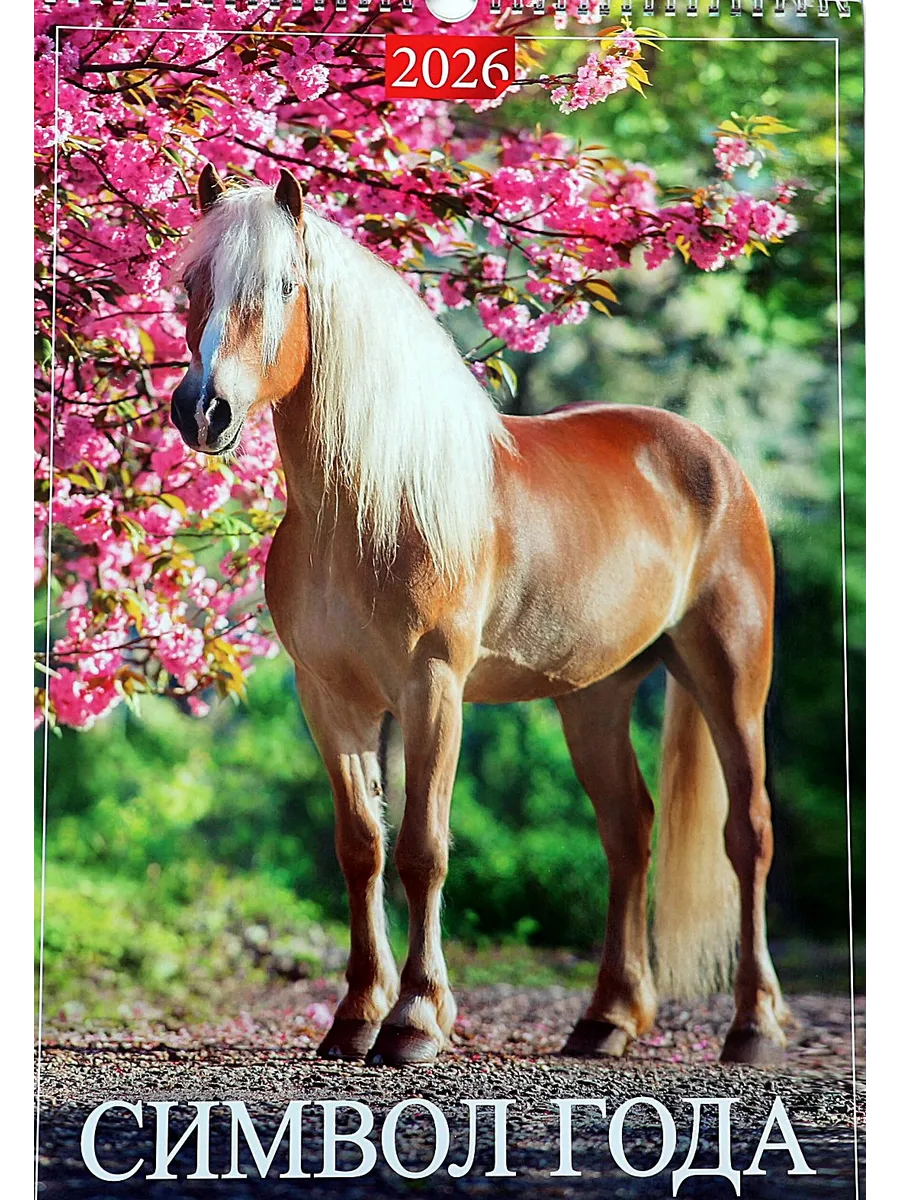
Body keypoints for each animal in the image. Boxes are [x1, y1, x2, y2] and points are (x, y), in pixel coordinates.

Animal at [169, 163, 790, 1068]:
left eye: (284, 285)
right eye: (192, 283)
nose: (202, 409)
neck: (368, 506)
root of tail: (711, 458)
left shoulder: (433, 689)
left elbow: (424, 848)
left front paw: (415, 1020)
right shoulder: (330, 698)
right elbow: (361, 847)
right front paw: (354, 1016)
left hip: (730, 673)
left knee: (748, 833)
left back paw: (754, 1026)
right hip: (594, 695)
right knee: (627, 830)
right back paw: (607, 1019)